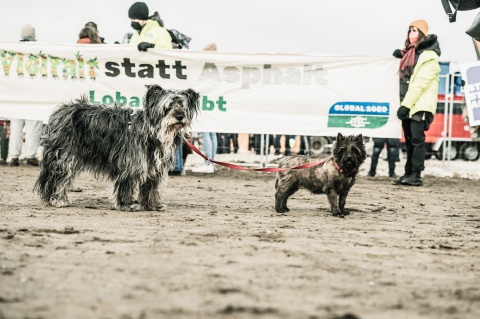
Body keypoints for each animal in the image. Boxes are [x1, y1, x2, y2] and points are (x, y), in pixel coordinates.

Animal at [34, 85, 199, 212]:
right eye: (168, 106)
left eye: (182, 105)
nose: (179, 116)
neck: (152, 130)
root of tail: (60, 112)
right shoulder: (131, 164)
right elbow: (126, 185)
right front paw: (126, 205)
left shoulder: (153, 167)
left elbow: (150, 188)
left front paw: (153, 205)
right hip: (64, 156)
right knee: (56, 178)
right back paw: (56, 199)